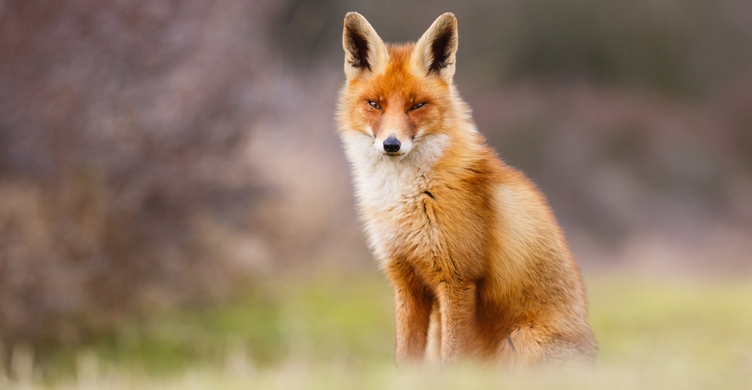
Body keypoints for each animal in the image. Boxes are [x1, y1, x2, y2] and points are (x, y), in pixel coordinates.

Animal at [338, 12, 596, 366]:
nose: (391, 144)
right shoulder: (405, 280)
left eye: (417, 106)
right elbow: (405, 357)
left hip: (520, 341)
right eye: (374, 104)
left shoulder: (457, 279)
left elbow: (452, 358)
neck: (406, 197)